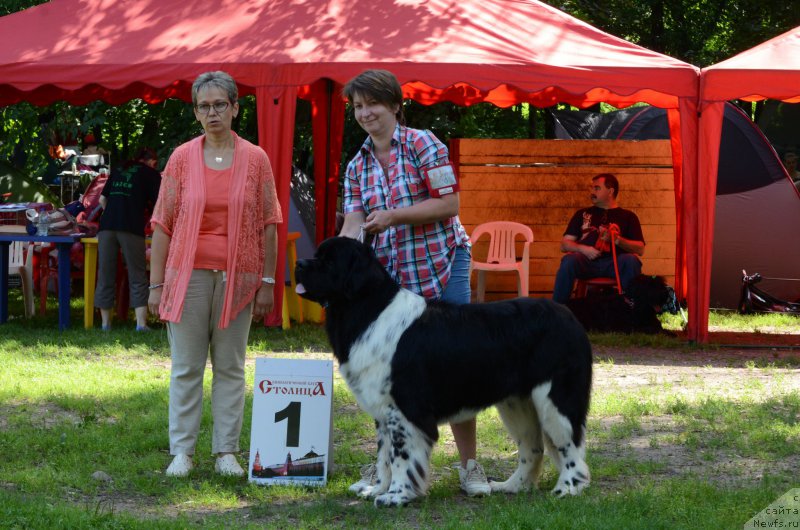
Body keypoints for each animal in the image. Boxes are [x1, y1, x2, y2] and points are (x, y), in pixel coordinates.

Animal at [296, 237, 592, 506]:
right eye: (317, 255)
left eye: (329, 261)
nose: (298, 263)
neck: (367, 308)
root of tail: (570, 317)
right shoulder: (383, 411)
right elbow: (383, 457)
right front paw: (377, 489)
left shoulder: (404, 410)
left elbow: (400, 456)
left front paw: (396, 495)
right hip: (517, 405)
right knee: (533, 448)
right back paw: (510, 486)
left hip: (555, 400)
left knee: (571, 447)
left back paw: (568, 488)